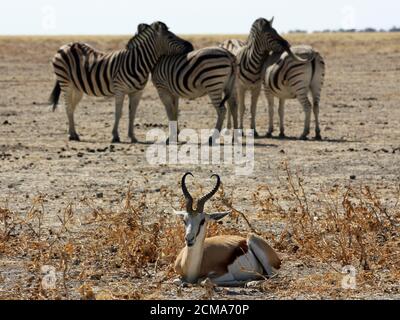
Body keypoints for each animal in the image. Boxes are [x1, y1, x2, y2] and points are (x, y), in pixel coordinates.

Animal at [48, 21, 194, 142]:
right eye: (170, 37)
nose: (191, 46)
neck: (137, 63)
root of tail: (67, 45)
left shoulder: (137, 92)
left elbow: (132, 114)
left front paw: (133, 137)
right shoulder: (120, 90)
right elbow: (118, 113)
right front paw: (115, 136)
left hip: (77, 88)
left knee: (72, 107)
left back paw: (74, 133)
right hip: (65, 82)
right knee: (67, 106)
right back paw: (71, 135)